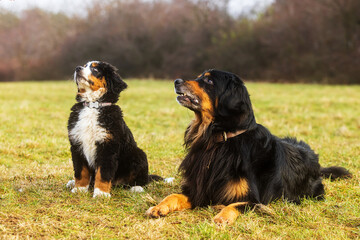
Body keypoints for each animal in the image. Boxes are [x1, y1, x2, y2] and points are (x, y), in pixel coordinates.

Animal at [67, 61, 162, 198]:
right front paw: (79, 189)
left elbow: (103, 173)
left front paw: (101, 194)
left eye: (95, 70)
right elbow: (81, 171)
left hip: (139, 154)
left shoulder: (108, 146)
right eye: (84, 66)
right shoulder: (77, 144)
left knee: (142, 180)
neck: (92, 106)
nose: (77, 68)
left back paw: (136, 188)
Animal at [146, 70, 348, 225]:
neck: (220, 140)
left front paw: (221, 218)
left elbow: (233, 205)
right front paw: (158, 207)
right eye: (198, 77)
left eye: (209, 80)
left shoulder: (253, 200)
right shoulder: (199, 190)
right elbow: (174, 196)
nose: (176, 81)